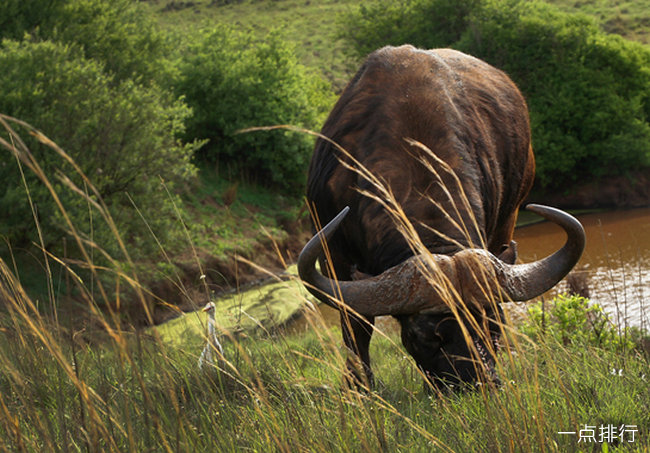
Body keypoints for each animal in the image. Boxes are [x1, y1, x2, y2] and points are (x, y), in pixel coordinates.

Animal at [298, 46, 584, 392]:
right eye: (424, 337)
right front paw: (359, 387)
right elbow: (356, 325)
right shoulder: (335, 257)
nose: (478, 383)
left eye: (493, 325)